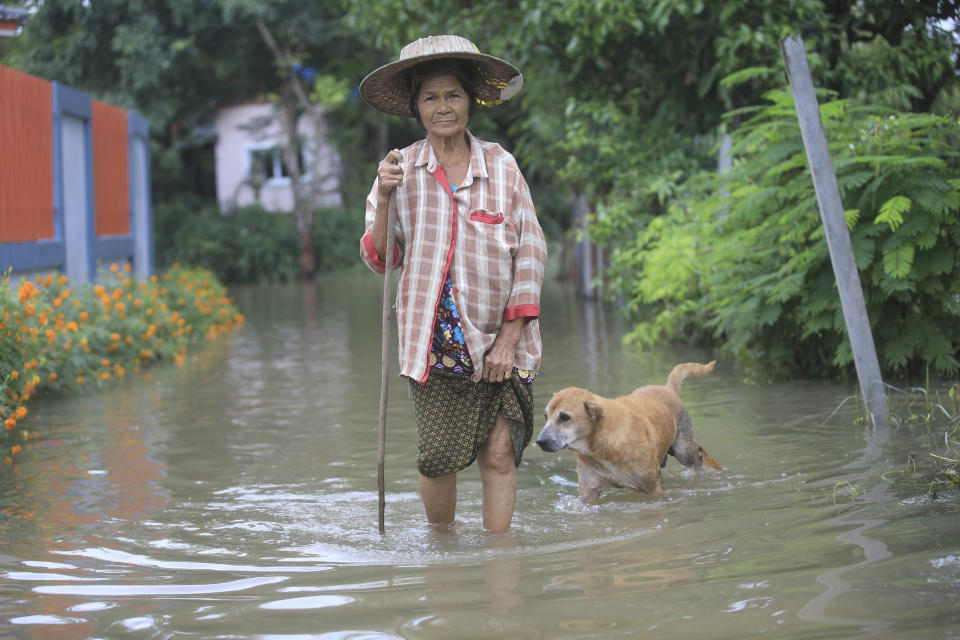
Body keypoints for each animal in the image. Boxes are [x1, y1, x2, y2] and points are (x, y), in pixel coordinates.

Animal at [532, 362, 720, 502]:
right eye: (546, 415)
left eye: (564, 417)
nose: (540, 441)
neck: (602, 448)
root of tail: (668, 389)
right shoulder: (588, 491)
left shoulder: (653, 489)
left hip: (683, 450)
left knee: (698, 456)